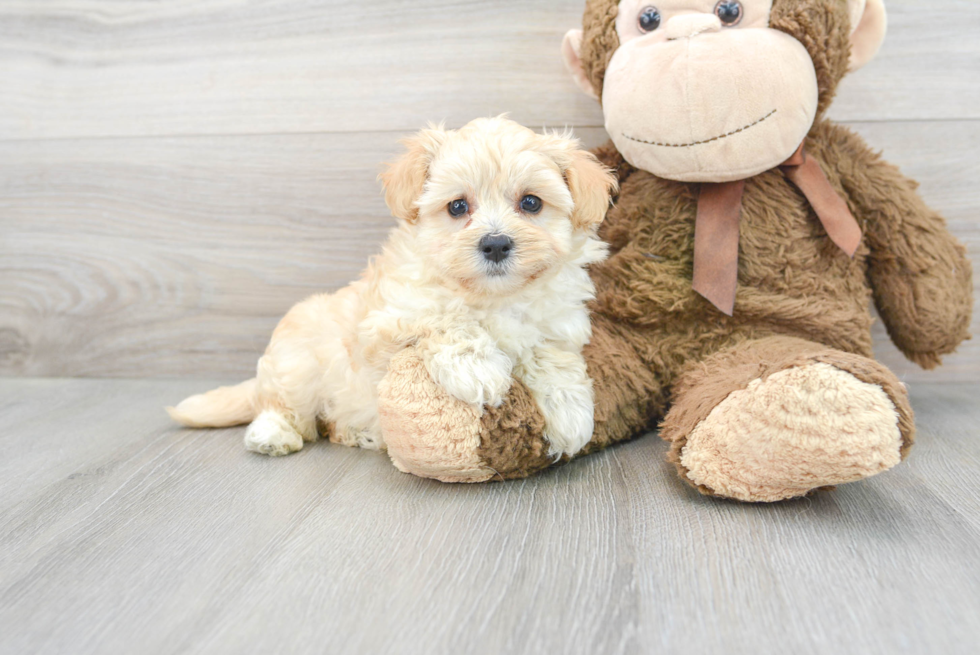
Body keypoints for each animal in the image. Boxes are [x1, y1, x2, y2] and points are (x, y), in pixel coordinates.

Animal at [166, 118, 616, 464]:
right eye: (457, 207)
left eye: (531, 203)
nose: (496, 244)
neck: (492, 296)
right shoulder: (387, 322)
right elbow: (447, 318)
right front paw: (477, 368)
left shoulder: (559, 327)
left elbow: (550, 356)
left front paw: (570, 413)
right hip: (297, 362)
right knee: (284, 408)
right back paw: (273, 434)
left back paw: (362, 433)